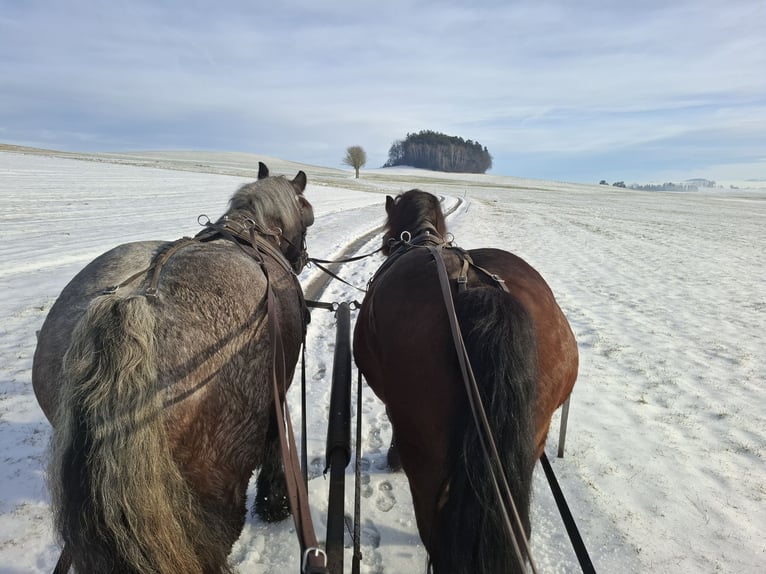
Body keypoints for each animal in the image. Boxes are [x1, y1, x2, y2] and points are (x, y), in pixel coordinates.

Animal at [32, 163, 316, 574]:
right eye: (308, 215)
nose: (303, 258)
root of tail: (133, 308)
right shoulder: (279, 389)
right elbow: (277, 446)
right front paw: (275, 502)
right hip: (216, 487)